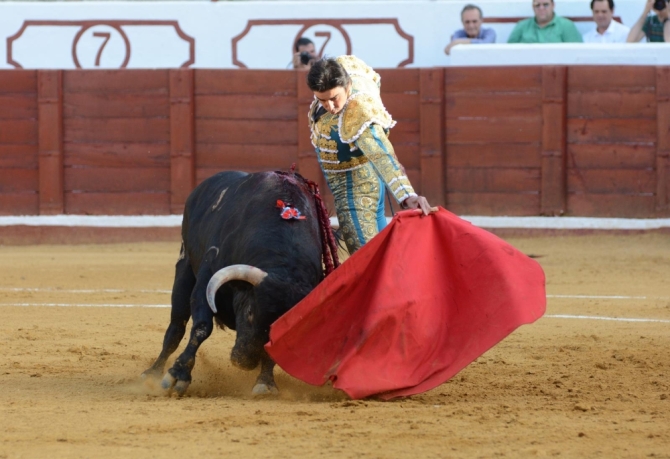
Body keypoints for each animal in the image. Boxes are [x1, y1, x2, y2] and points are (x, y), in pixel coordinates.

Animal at [144, 171, 338, 398]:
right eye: (250, 312)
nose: (243, 362)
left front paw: (265, 383)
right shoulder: (207, 278)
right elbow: (201, 327)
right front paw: (178, 375)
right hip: (185, 267)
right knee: (176, 327)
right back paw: (152, 374)